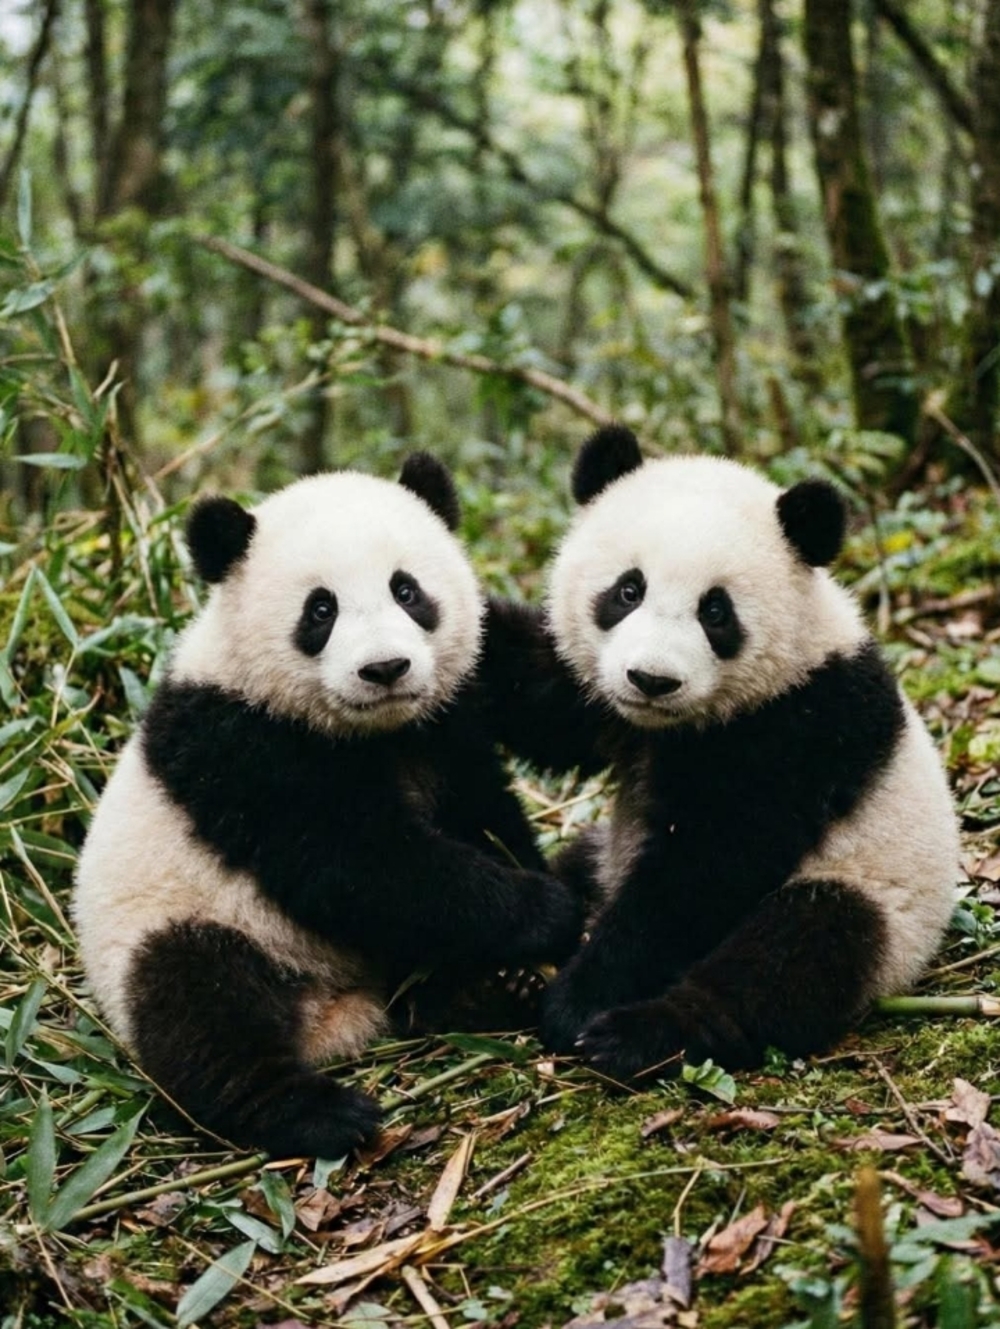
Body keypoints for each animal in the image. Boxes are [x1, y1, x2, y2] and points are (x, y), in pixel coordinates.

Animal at [74, 454, 583, 1157]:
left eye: (406, 591)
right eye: (321, 609)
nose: (386, 668)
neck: (374, 731)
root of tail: (332, 1012)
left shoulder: (453, 710)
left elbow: (485, 801)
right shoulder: (241, 745)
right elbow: (359, 866)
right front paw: (546, 911)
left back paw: (483, 991)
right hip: (177, 922)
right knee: (198, 1003)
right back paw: (316, 1112)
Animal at [483, 426, 959, 1082]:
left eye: (716, 611)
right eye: (628, 590)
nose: (651, 680)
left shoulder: (800, 723)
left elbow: (707, 867)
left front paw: (579, 1000)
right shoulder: (600, 701)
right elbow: (540, 697)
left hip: (881, 897)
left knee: (796, 951)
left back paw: (641, 1033)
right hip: (603, 854)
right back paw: (517, 971)